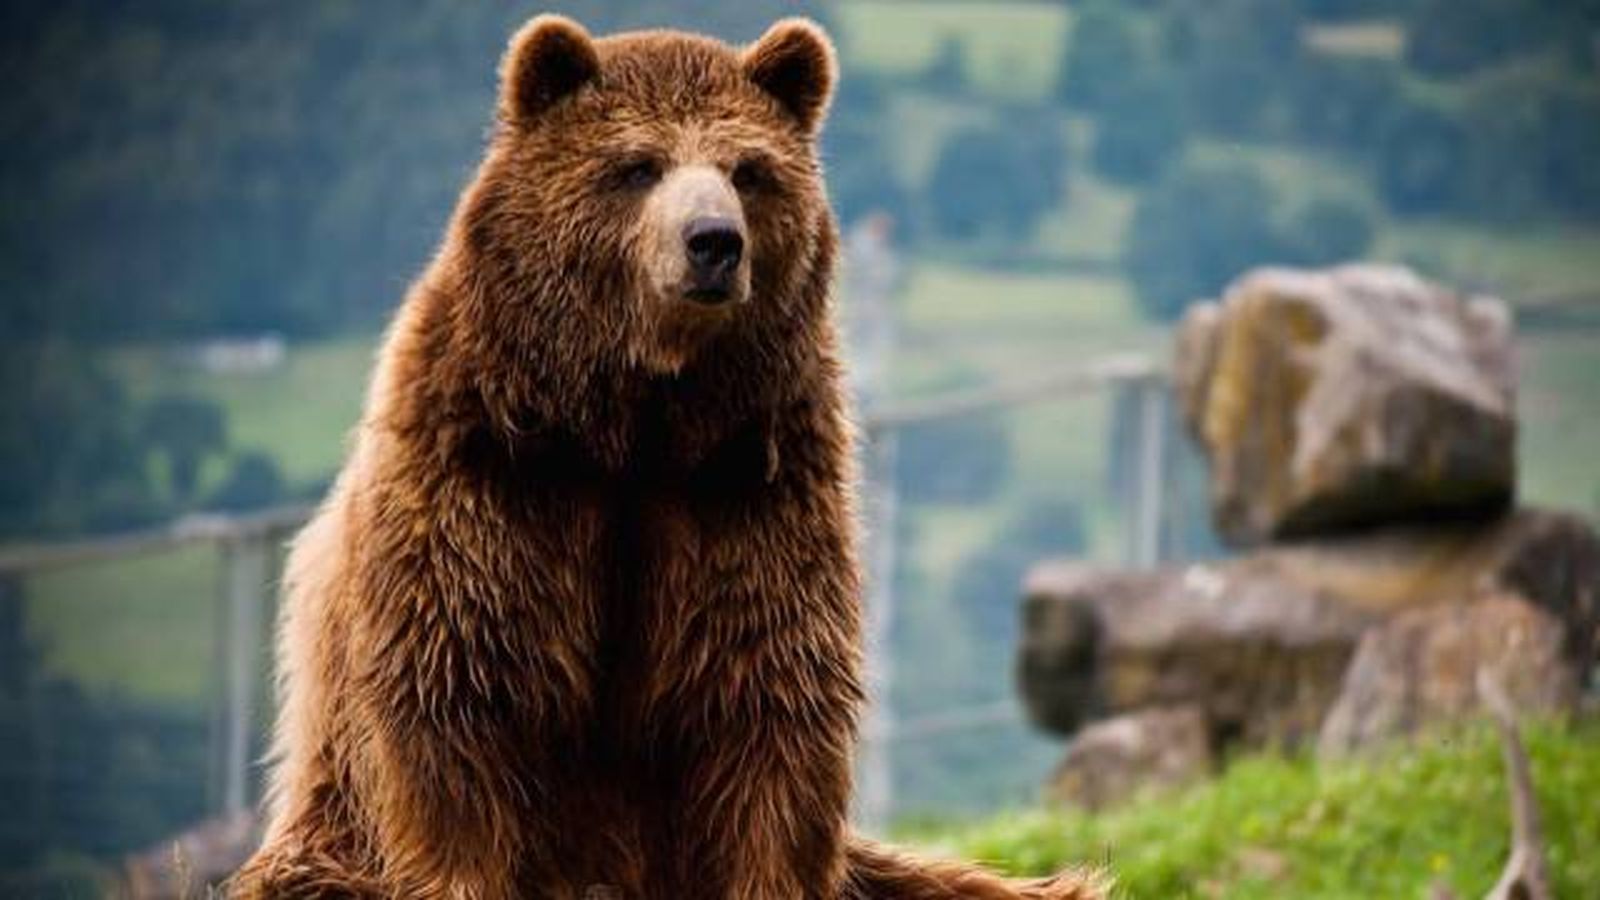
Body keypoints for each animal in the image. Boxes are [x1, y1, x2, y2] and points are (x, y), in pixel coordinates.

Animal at [231, 15, 1103, 900]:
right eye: (637, 164)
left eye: (748, 170)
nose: (713, 242)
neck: (634, 417)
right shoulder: (493, 475)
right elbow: (461, 699)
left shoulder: (746, 483)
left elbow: (765, 710)